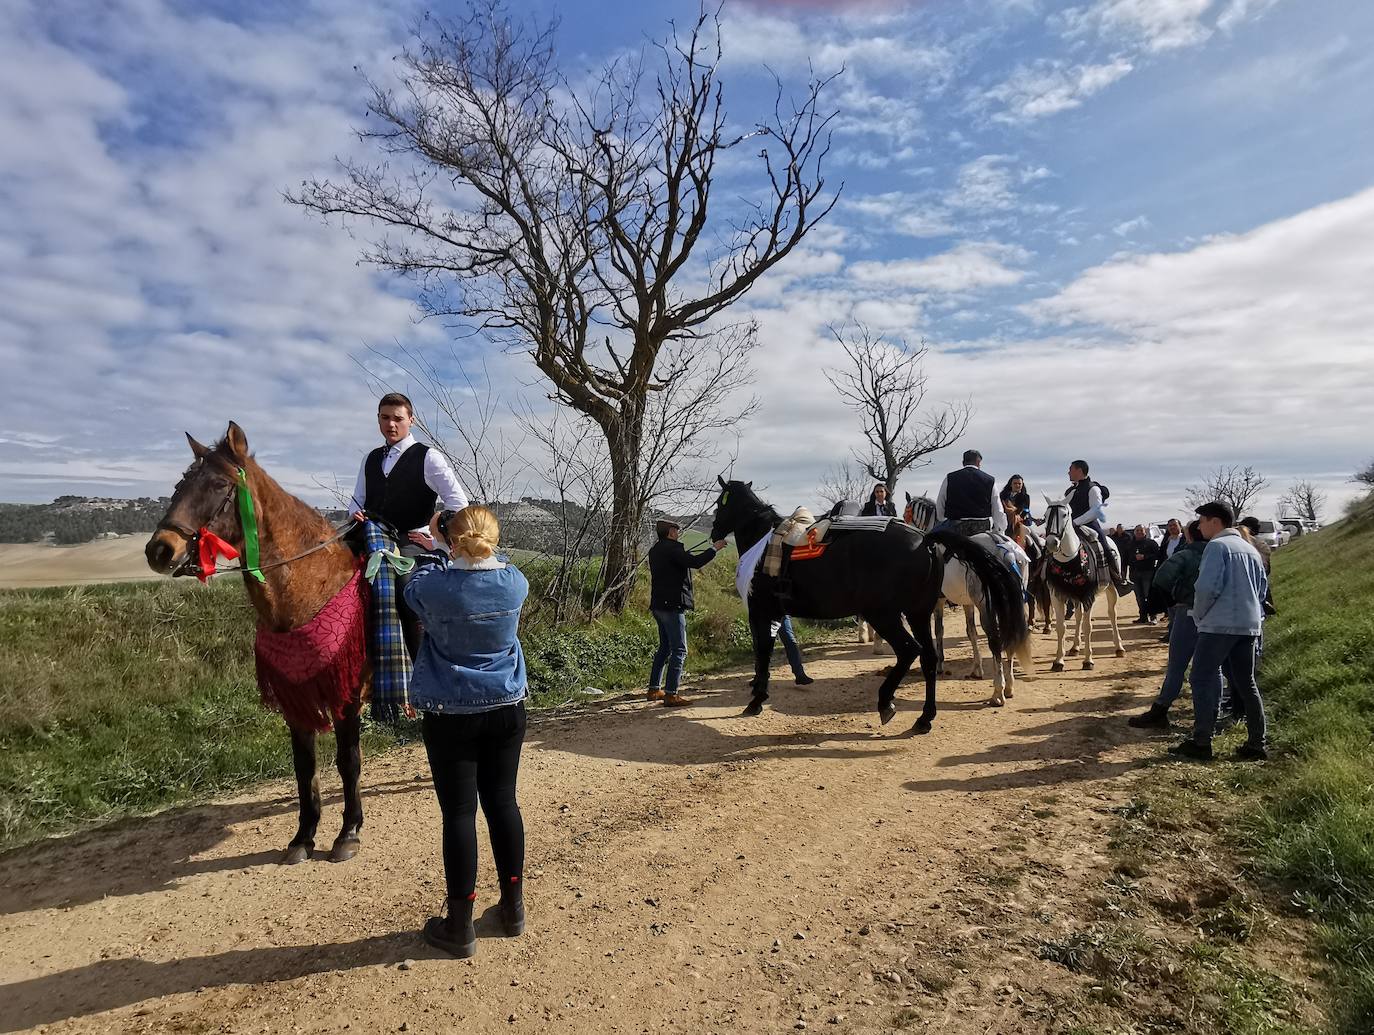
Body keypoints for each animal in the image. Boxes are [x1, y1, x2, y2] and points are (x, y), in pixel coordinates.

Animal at [145, 420, 370, 863]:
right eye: (180, 484)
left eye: (218, 484)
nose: (159, 549)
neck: (311, 587)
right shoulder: (295, 696)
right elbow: (304, 767)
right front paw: (303, 837)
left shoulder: (345, 694)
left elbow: (347, 760)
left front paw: (349, 832)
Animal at [901, 494, 1033, 709]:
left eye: (907, 514)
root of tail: (1005, 549)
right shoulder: (967, 603)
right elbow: (971, 632)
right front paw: (977, 669)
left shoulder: (938, 602)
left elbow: (939, 630)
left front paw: (940, 664)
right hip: (1012, 603)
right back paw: (1009, 686)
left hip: (986, 606)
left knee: (995, 640)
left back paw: (998, 692)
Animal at [1044, 497, 1121, 673]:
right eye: (1045, 516)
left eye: (1065, 514)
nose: (1052, 543)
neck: (1070, 561)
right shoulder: (1056, 595)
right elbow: (1061, 627)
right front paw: (1058, 661)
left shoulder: (1088, 596)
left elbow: (1088, 626)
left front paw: (1088, 660)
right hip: (1076, 597)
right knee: (1078, 616)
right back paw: (1075, 647)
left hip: (1111, 589)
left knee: (1112, 614)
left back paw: (1119, 647)